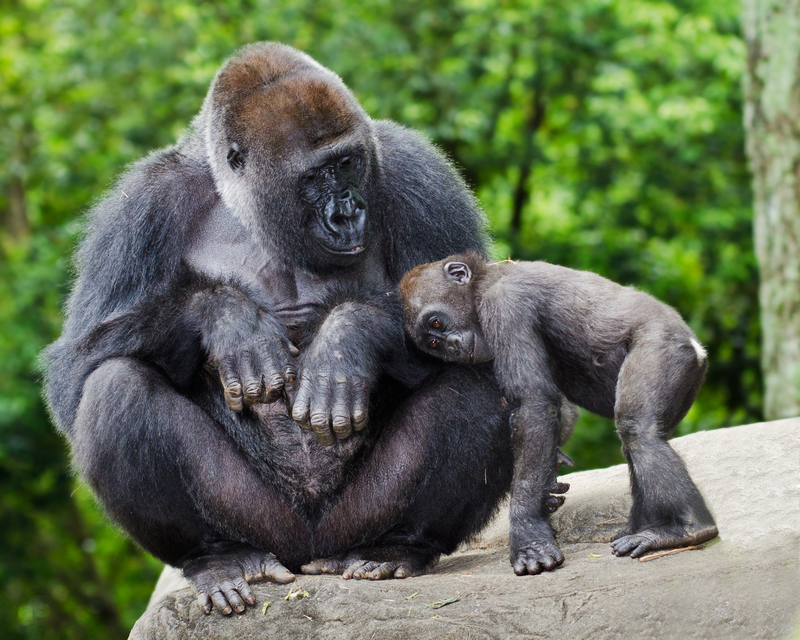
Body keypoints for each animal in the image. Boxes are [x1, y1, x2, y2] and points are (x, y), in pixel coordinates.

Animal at [42, 42, 512, 612]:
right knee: (116, 387)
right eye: (314, 178)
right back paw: (218, 557)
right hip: (261, 523)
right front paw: (226, 318)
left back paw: (398, 546)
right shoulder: (143, 205)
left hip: (354, 520)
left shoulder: (413, 169)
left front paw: (347, 337)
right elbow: (74, 368)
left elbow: (478, 314)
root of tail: (307, 552)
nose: (347, 213)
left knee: (477, 384)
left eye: (348, 164)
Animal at [400, 254, 720, 576]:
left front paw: (529, 537)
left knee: (638, 430)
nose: (451, 345)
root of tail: (698, 349)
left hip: (667, 349)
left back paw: (687, 529)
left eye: (437, 322)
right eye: (433, 344)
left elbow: (534, 404)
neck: (482, 284)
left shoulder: (504, 304)